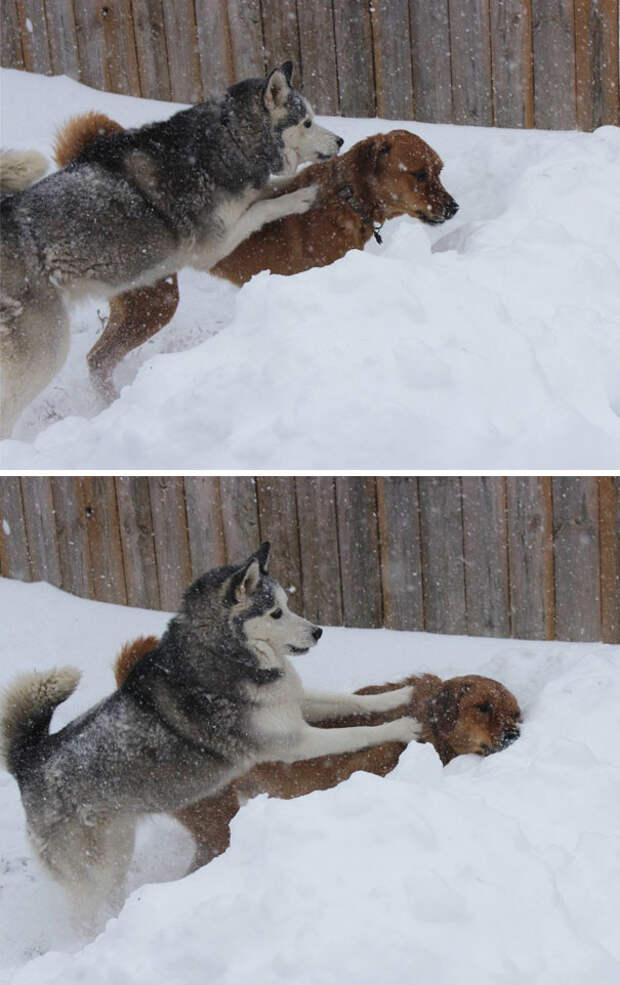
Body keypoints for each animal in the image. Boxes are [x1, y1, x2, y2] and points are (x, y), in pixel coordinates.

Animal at [0, 63, 344, 436]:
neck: (231, 138)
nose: (341, 140)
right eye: (307, 122)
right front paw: (303, 197)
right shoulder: (213, 245)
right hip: (47, 345)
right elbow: (264, 207)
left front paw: (307, 180)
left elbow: (269, 188)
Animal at [0, 540, 422, 928]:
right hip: (94, 868)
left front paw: (399, 695)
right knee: (84, 912)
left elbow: (349, 700)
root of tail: (28, 760)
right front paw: (401, 725)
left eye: (287, 604)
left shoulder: (293, 705)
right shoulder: (293, 742)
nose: (319, 632)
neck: (228, 654)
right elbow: (356, 732)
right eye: (275, 611)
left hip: (117, 848)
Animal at [53, 117, 458, 402]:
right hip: (154, 302)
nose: (454, 208)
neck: (345, 197)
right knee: (98, 359)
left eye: (439, 170)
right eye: (419, 174)